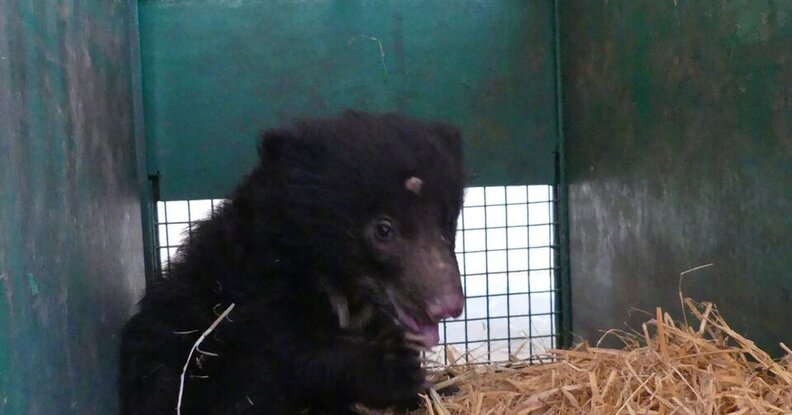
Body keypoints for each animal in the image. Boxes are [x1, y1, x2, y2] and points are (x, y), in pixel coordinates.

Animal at [119, 110, 467, 414]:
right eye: (383, 230)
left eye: (449, 221)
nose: (447, 305)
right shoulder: (253, 294)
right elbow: (291, 354)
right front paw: (395, 372)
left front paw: (435, 387)